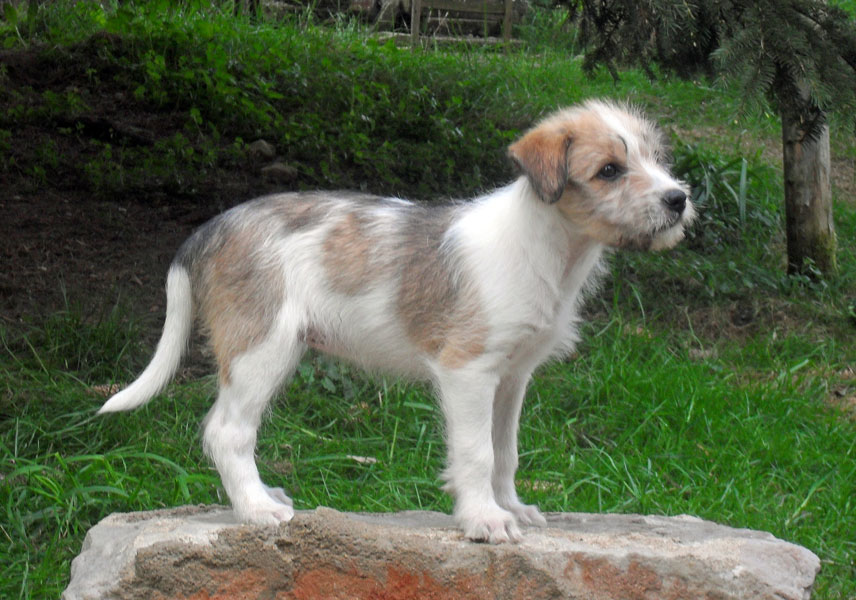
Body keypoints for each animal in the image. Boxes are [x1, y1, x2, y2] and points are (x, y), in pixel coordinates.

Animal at [99, 100, 694, 543]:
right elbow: (476, 451)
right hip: (261, 349)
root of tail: (212, 226)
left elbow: (505, 451)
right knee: (227, 432)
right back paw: (255, 510)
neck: (551, 248)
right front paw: (484, 518)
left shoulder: (512, 377)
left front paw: (511, 506)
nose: (679, 199)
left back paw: (265, 497)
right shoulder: (468, 371)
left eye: (656, 157)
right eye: (609, 171)